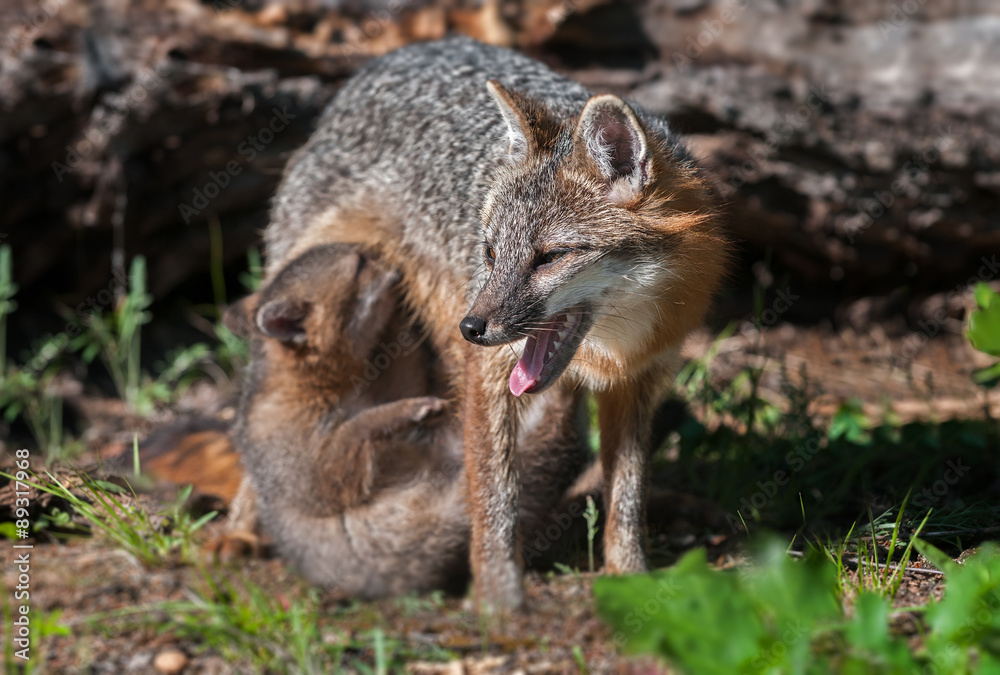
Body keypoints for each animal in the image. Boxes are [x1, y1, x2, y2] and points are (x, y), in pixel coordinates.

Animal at [215, 242, 589, 597]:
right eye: (360, 264)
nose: (389, 257)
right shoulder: (317, 475)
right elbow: (359, 426)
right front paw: (408, 410)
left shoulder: (394, 384)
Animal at [264, 37, 727, 610]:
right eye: (489, 252)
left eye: (550, 257)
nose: (471, 328)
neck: (613, 347)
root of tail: (408, 50)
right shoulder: (488, 376)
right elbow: (493, 494)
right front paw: (498, 601)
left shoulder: (638, 382)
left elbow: (626, 498)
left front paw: (630, 578)